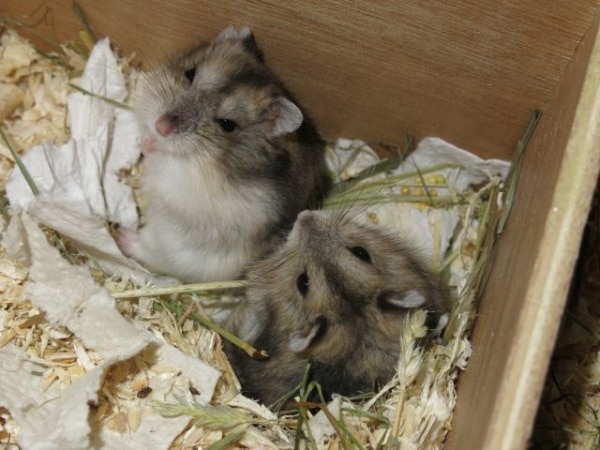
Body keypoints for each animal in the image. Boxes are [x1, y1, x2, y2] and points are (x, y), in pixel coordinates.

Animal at [114, 25, 326, 282]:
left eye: (227, 124)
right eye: (190, 74)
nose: (161, 126)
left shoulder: (179, 183)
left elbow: (160, 168)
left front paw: (150, 148)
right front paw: (147, 140)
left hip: (176, 249)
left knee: (150, 253)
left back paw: (120, 236)